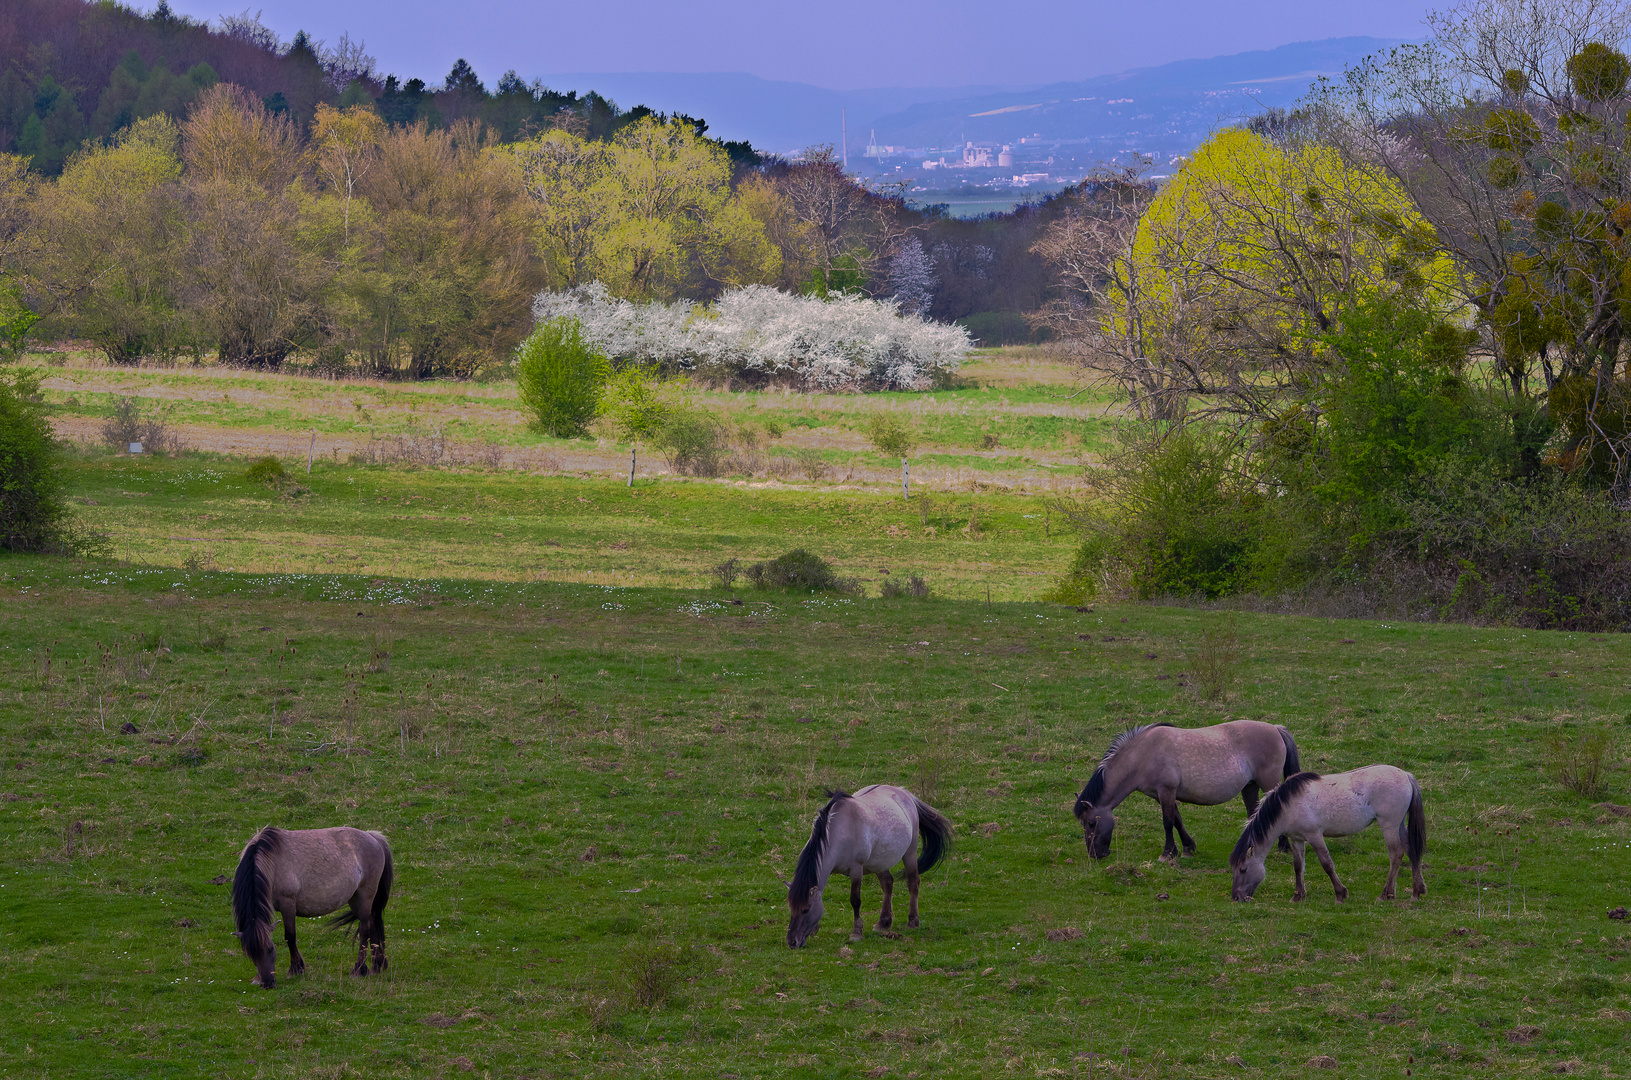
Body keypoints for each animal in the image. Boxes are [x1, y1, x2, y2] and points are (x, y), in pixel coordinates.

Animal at [229, 828, 391, 991]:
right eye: (251, 955)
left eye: (270, 949)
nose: (267, 983)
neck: (272, 862)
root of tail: (372, 837)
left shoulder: (288, 904)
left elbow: (290, 936)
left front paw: (295, 969)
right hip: (355, 899)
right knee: (372, 924)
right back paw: (377, 966)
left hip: (365, 896)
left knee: (364, 930)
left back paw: (358, 969)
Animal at [782, 786, 952, 946]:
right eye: (791, 908)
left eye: (806, 909)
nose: (792, 942)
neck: (840, 831)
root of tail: (904, 793)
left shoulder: (856, 870)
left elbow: (855, 900)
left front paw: (856, 933)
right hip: (880, 862)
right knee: (887, 883)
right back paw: (883, 922)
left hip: (910, 852)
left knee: (913, 883)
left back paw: (912, 921)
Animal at [1069, 724, 1298, 867]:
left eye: (1091, 823)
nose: (1096, 854)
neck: (1143, 754)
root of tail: (1276, 729)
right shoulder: (1161, 794)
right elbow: (1177, 820)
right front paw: (1188, 848)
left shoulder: (1166, 791)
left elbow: (1168, 822)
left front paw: (1167, 854)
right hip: (1249, 787)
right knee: (1254, 813)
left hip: (1268, 784)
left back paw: (1283, 847)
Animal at [1226, 770, 1422, 907]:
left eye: (1243, 869)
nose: (1236, 897)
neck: (1289, 806)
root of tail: (1406, 775)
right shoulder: (1297, 839)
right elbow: (1298, 866)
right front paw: (1298, 896)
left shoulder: (1314, 836)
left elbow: (1327, 864)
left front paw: (1340, 894)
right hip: (1399, 825)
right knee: (1411, 851)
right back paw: (1416, 892)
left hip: (1389, 825)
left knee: (1396, 854)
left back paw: (1386, 894)